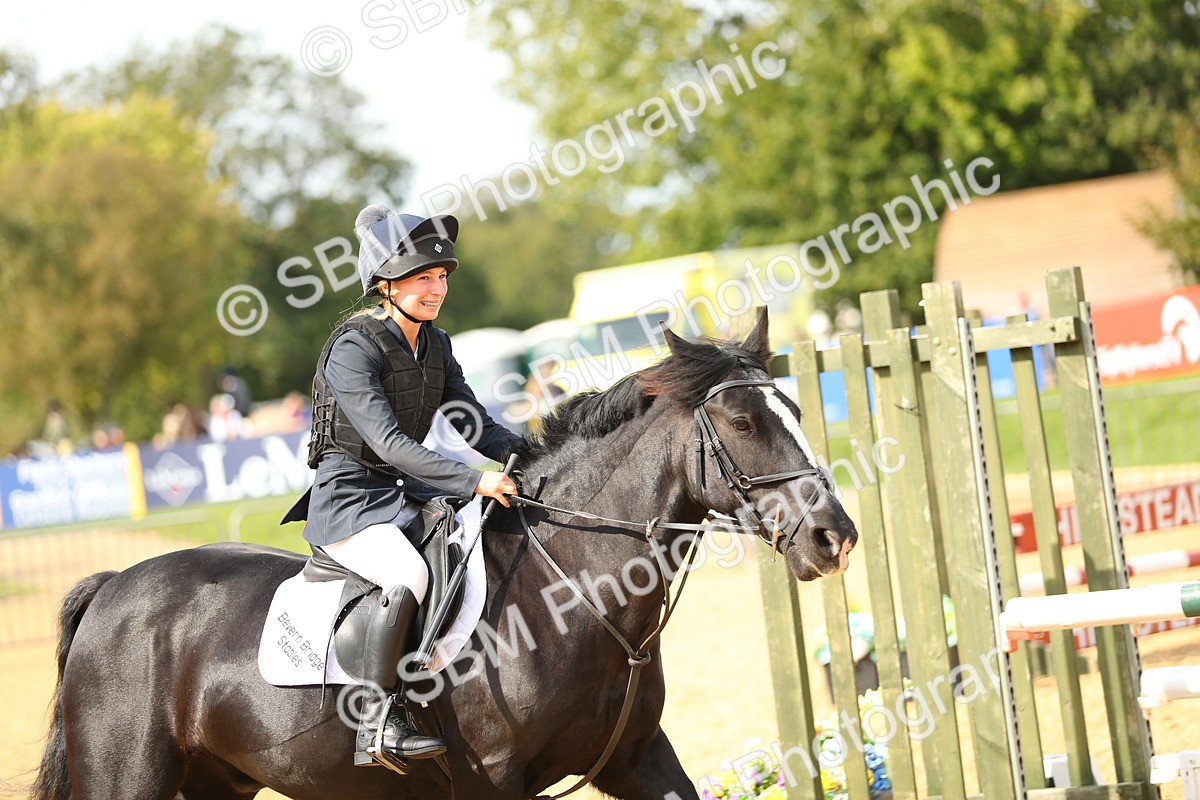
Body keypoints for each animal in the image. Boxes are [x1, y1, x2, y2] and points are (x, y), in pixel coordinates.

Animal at [32, 309, 858, 800]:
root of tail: (115, 586)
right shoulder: (492, 780)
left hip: (215, 779)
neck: (573, 593)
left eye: (794, 406)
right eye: (745, 422)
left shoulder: (639, 758)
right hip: (127, 776)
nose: (835, 536)